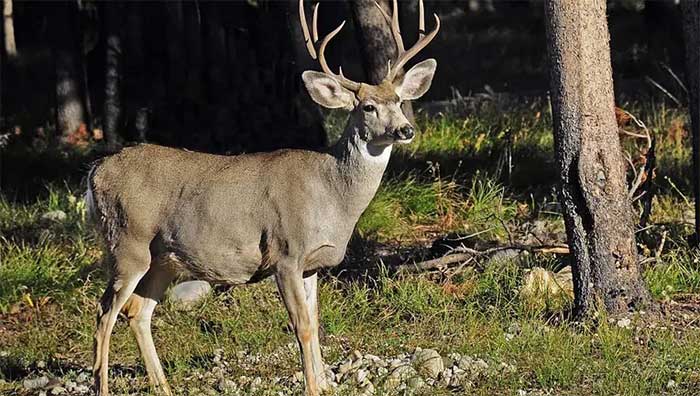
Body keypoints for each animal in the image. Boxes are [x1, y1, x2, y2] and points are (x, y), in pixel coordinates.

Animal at [85, 1, 440, 394]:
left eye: (398, 100)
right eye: (367, 107)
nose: (405, 129)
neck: (332, 196)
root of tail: (94, 172)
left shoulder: (312, 264)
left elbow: (316, 322)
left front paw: (324, 384)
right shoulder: (286, 253)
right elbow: (302, 326)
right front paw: (312, 386)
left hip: (162, 259)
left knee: (137, 311)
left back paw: (163, 386)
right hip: (126, 242)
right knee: (104, 311)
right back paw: (103, 386)